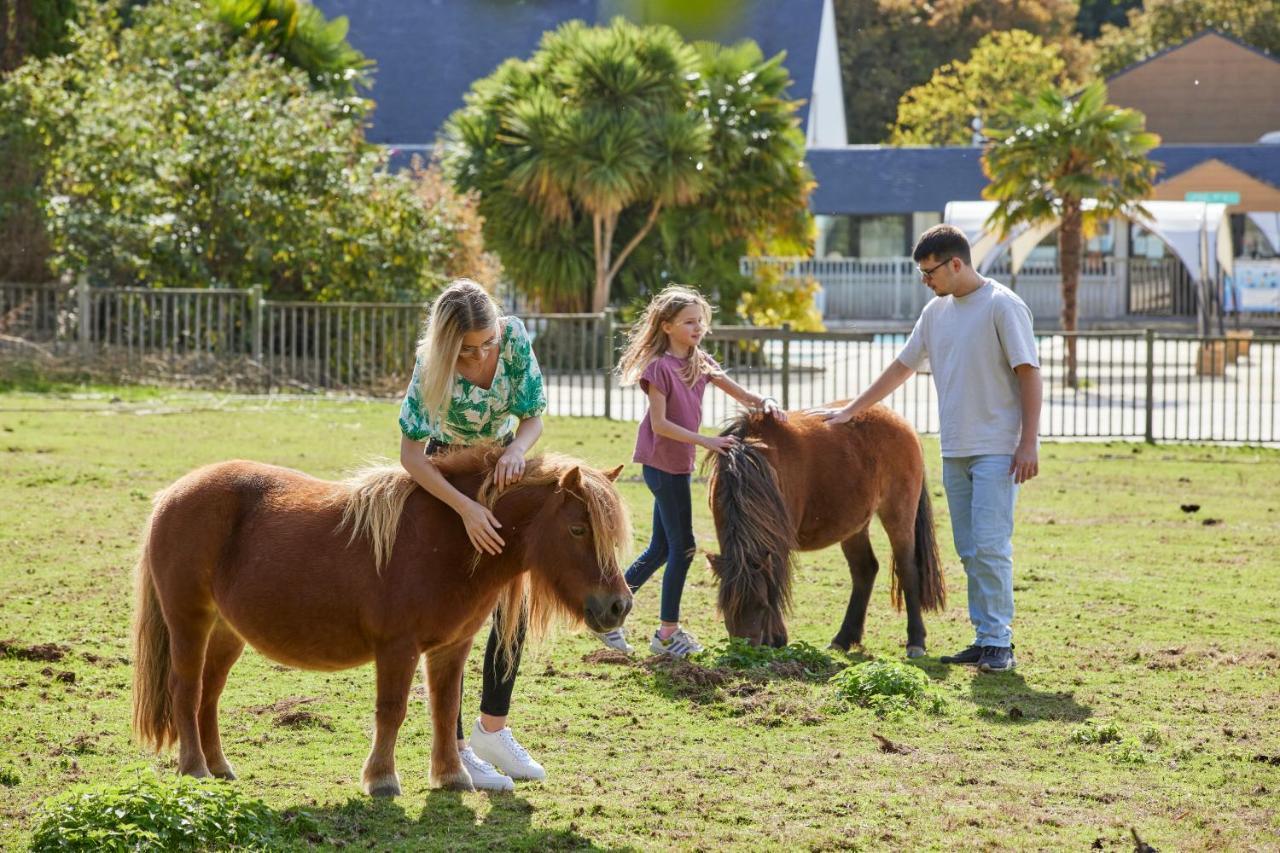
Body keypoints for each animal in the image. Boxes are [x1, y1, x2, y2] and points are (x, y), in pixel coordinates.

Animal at [129, 448, 629, 794]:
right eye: (577, 529)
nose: (618, 606)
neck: (449, 540)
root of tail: (171, 496)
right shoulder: (397, 648)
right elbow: (392, 711)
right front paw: (383, 779)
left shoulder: (451, 648)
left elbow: (445, 709)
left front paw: (451, 776)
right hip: (189, 622)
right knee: (186, 691)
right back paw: (194, 767)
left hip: (227, 632)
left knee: (208, 697)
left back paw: (219, 766)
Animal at [706, 402, 947, 653]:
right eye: (725, 608)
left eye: (762, 605)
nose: (745, 648)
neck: (752, 460)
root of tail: (899, 420)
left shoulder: (778, 543)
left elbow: (776, 584)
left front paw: (776, 639)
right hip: (854, 526)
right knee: (865, 569)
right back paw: (844, 638)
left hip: (898, 517)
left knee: (908, 570)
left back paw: (916, 640)